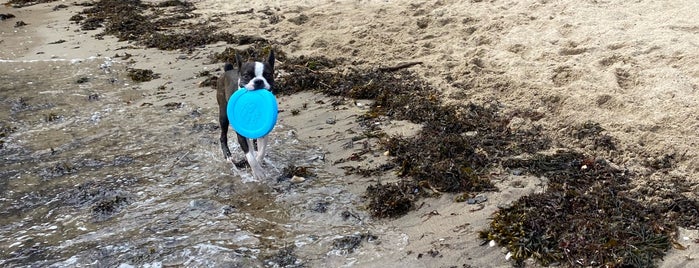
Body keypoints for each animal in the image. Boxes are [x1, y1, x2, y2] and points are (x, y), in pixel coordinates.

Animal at [217, 50, 274, 180]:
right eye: (247, 76)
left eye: (268, 75)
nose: (259, 81)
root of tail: (228, 70)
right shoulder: (241, 135)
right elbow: (250, 156)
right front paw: (257, 172)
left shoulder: (264, 132)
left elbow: (261, 152)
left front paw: (259, 163)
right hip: (223, 115)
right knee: (223, 136)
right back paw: (228, 155)